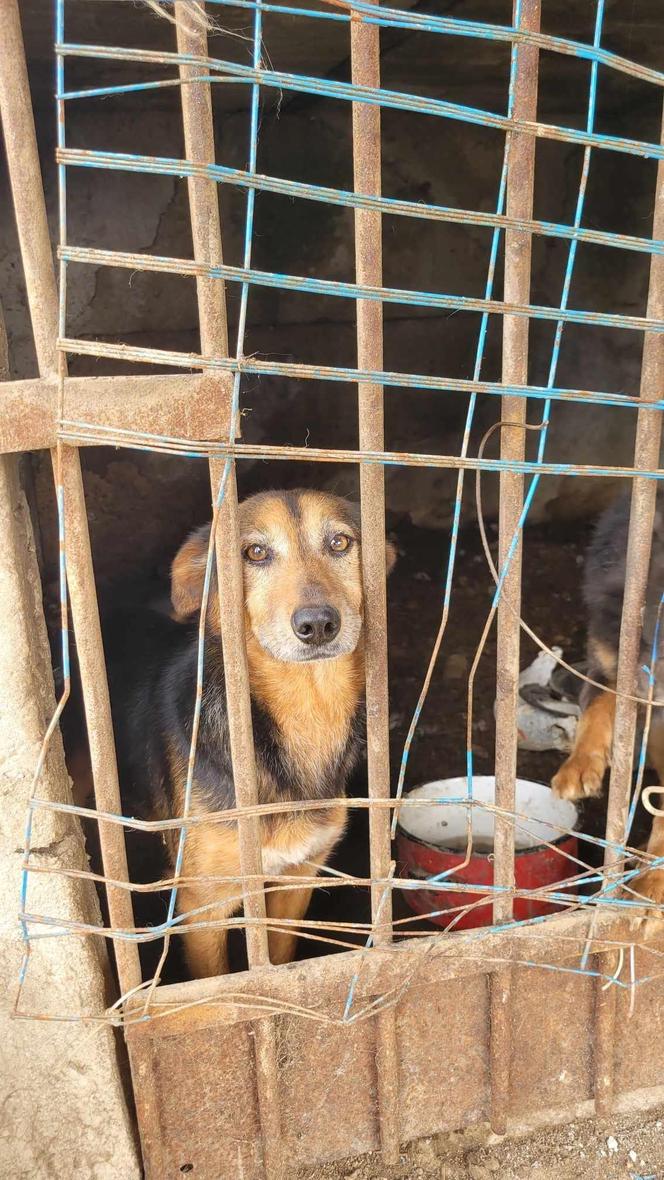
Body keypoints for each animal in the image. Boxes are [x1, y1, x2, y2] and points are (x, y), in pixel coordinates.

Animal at [102, 488, 398, 977]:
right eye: (255, 552)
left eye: (339, 543)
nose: (318, 624)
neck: (307, 707)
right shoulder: (204, 905)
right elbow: (221, 981)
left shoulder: (297, 878)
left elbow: (278, 960)